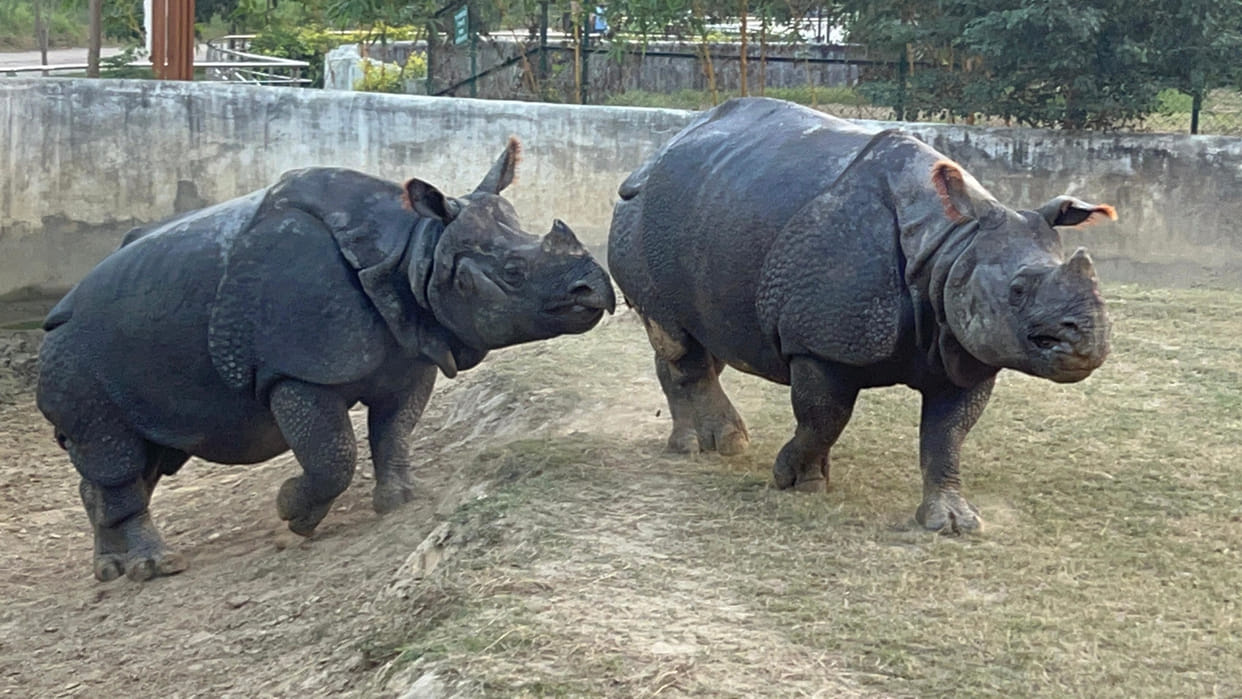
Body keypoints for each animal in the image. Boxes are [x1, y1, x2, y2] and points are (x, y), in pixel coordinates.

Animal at [38, 138, 616, 582]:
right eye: (513, 272)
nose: (597, 291)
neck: (414, 250)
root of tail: (59, 308)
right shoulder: (296, 372)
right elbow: (333, 455)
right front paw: (292, 513)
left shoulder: (409, 355)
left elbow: (394, 432)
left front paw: (400, 500)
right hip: (71, 352)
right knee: (115, 451)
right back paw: (154, 568)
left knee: (142, 454)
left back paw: (111, 571)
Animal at [608, 98, 1114, 532]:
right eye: (1017, 290)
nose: (1086, 345)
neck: (951, 245)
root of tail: (652, 156)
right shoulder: (820, 344)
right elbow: (825, 415)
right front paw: (798, 482)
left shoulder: (964, 347)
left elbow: (947, 435)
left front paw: (952, 522)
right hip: (638, 217)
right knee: (678, 340)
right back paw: (718, 448)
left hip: (713, 209)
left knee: (698, 338)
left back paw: (705, 443)